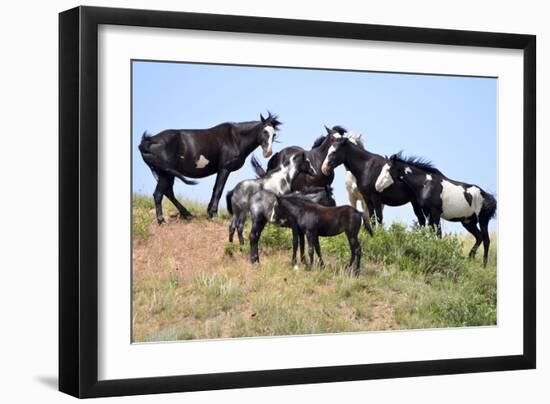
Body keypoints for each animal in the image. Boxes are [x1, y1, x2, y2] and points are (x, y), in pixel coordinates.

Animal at [140, 112, 282, 223]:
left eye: (274, 134)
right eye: (264, 131)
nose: (268, 152)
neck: (235, 138)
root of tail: (149, 141)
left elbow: (215, 189)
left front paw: (209, 212)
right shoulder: (224, 169)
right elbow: (218, 190)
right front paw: (213, 213)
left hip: (166, 173)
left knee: (168, 192)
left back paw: (187, 215)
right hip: (165, 173)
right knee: (159, 194)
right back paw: (162, 220)